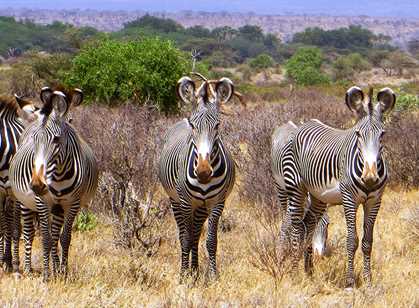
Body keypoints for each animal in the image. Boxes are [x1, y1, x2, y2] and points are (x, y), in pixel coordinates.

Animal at [10, 87, 99, 282]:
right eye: (35, 139)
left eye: (57, 139)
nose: (37, 185)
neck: (58, 176)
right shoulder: (42, 202)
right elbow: (46, 239)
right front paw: (46, 275)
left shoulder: (72, 203)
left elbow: (64, 238)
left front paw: (62, 273)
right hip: (25, 202)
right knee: (28, 232)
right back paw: (27, 268)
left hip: (58, 208)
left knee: (55, 233)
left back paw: (56, 267)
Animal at [158, 77, 236, 280]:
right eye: (193, 126)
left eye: (217, 125)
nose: (203, 172)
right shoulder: (185, 202)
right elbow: (185, 238)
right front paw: (184, 275)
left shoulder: (217, 203)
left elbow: (211, 240)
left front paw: (213, 275)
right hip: (175, 201)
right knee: (184, 233)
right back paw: (188, 269)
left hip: (201, 207)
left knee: (196, 232)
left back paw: (195, 268)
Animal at [280, 86, 396, 286]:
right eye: (357, 134)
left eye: (383, 134)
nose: (370, 177)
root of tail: (304, 124)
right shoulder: (349, 199)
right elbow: (351, 241)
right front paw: (350, 282)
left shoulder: (374, 201)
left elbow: (367, 241)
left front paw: (368, 281)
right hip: (296, 188)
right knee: (295, 226)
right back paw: (294, 275)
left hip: (318, 196)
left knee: (308, 223)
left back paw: (309, 272)